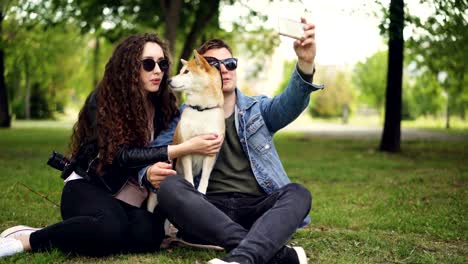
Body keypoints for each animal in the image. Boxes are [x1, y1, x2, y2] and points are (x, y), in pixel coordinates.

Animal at [147, 51, 226, 212]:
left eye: (186, 72)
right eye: (181, 71)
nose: (168, 80)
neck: (201, 110)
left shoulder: (211, 151)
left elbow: (205, 177)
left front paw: (201, 193)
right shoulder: (186, 148)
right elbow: (189, 176)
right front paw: (190, 189)